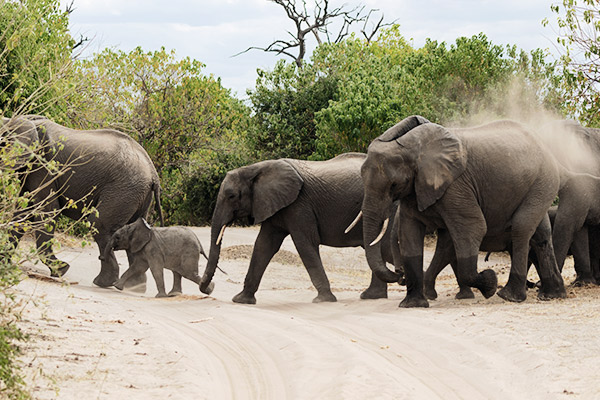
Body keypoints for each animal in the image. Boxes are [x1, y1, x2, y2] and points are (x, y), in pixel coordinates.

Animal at [1, 115, 163, 288]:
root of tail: (153, 174)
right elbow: (22, 212)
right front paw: (4, 262)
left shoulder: (45, 167)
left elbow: (47, 210)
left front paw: (61, 270)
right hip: (138, 195)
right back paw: (133, 286)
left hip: (124, 189)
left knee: (99, 224)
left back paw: (102, 283)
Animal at [199, 153, 400, 304]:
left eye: (231, 196)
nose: (210, 288)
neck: (255, 168)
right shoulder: (276, 205)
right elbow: (264, 245)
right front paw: (241, 300)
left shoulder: (299, 204)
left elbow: (305, 243)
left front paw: (323, 300)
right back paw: (371, 296)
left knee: (385, 247)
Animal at [360, 115, 568, 310]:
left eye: (393, 185)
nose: (399, 274)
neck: (413, 145)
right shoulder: (416, 187)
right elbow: (410, 235)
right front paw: (412, 305)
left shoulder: (456, 186)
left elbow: (473, 228)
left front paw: (490, 283)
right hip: (538, 186)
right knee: (541, 235)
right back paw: (552, 295)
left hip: (543, 181)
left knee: (521, 228)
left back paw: (509, 296)